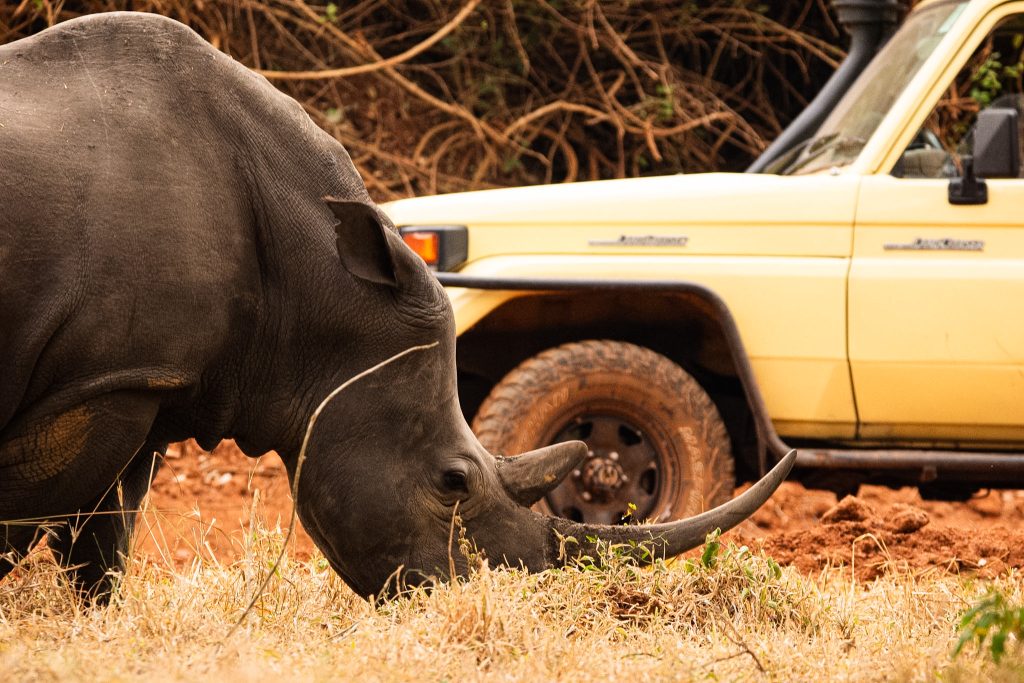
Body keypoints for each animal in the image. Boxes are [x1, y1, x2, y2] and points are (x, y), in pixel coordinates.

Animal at [0, 12, 795, 600]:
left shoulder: (147, 375)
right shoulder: (108, 380)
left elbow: (101, 541)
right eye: (454, 482)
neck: (313, 295)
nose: (476, 596)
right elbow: (32, 517)